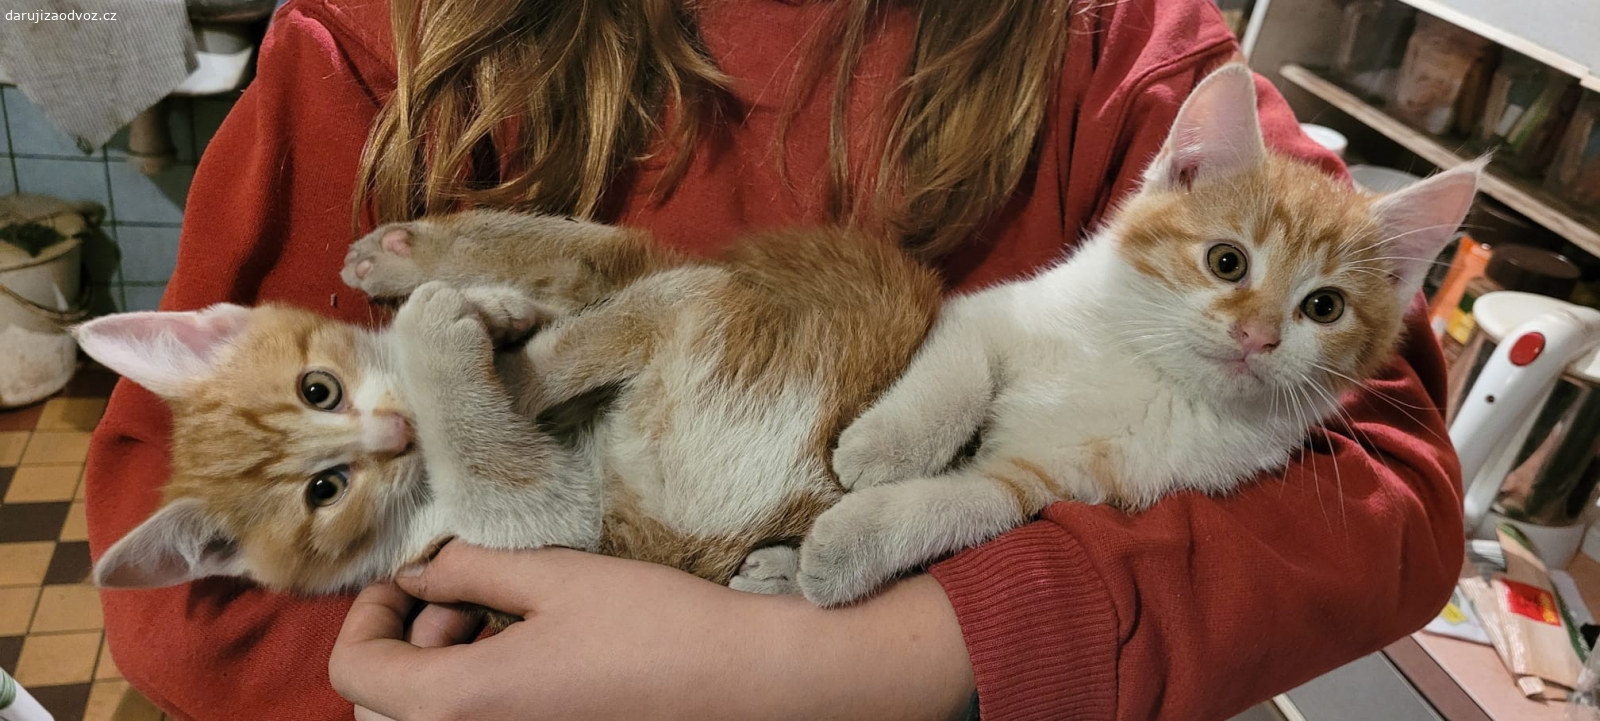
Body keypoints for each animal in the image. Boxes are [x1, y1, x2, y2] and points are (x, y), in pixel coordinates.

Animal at [75, 219, 940, 597]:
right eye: (326, 490)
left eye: (317, 387)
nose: (398, 433)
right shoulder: (549, 511)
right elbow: (497, 438)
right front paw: (449, 342)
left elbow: (560, 310)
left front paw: (471, 316)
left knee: (585, 249)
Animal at [800, 66, 1484, 610]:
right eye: (1227, 262)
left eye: (1325, 307)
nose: (1257, 336)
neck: (1153, 371)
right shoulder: (994, 313)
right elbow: (959, 376)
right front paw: (887, 445)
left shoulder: (1065, 477)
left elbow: (967, 503)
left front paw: (851, 546)